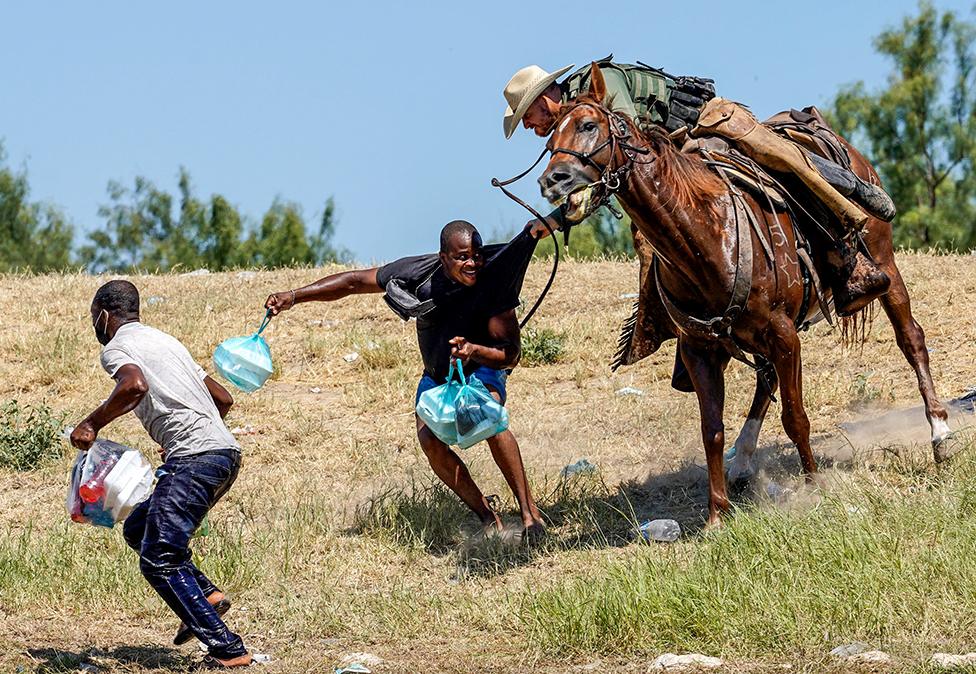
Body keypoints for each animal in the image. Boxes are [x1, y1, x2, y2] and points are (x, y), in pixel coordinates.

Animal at [536, 64, 948, 524]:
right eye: (550, 142)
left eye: (589, 126)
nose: (552, 180)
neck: (706, 236)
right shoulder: (700, 349)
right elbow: (712, 430)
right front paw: (717, 514)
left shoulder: (784, 334)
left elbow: (795, 417)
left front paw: (814, 487)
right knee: (765, 381)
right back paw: (744, 461)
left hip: (885, 265)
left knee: (911, 339)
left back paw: (939, 433)